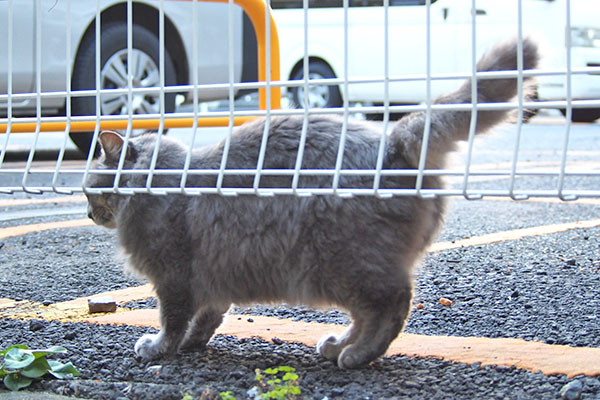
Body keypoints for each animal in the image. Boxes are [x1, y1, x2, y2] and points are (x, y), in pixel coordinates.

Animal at [85, 38, 540, 368]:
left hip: (342, 265)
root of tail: (393, 141)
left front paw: (159, 348)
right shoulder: (213, 275)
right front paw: (194, 344)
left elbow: (173, 320)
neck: (160, 179)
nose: (88, 212)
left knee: (393, 305)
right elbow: (207, 318)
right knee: (368, 314)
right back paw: (339, 345)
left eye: (88, 188)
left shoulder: (174, 277)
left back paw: (356, 356)